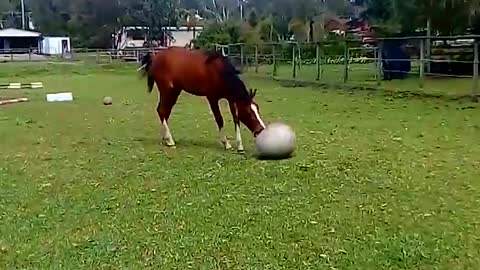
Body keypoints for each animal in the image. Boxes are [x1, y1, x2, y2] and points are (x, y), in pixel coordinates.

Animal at [138, 47, 266, 151]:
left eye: (257, 109)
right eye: (249, 112)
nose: (261, 130)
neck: (220, 72)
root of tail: (155, 57)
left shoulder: (231, 99)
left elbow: (236, 118)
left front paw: (240, 146)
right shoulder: (212, 98)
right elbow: (219, 119)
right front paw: (226, 144)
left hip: (175, 91)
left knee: (165, 111)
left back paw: (166, 139)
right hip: (167, 90)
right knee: (162, 110)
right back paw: (170, 141)